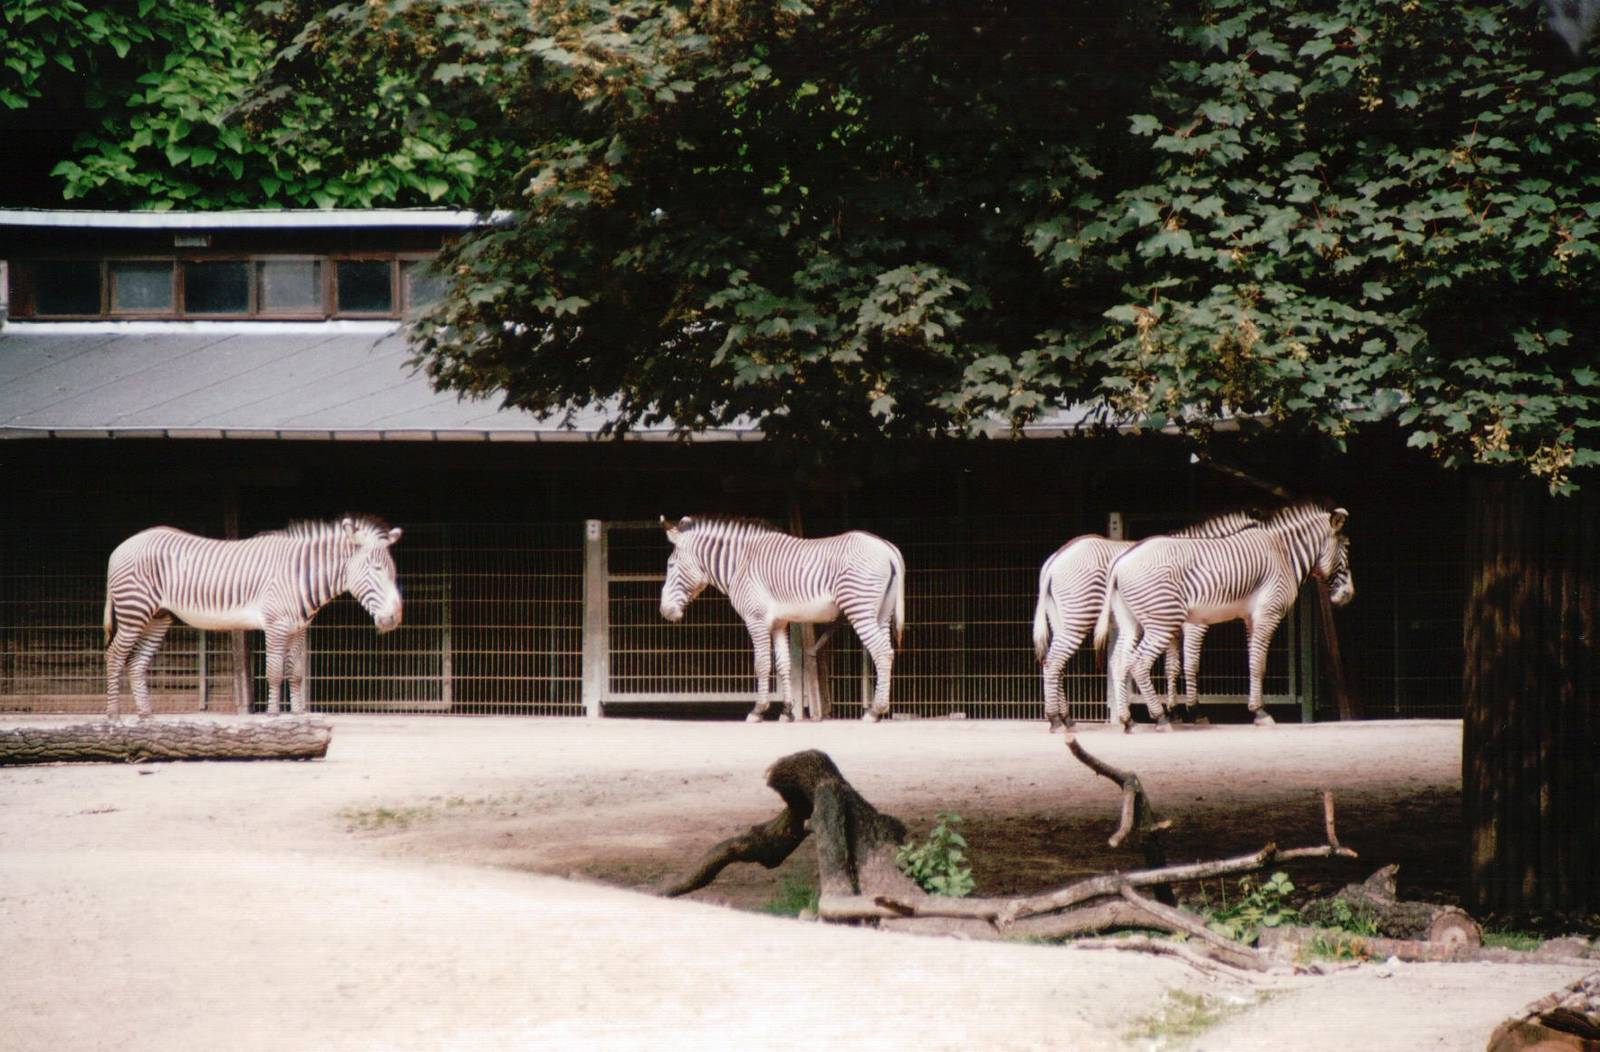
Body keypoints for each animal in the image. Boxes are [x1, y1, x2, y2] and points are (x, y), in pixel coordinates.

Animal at [103, 516, 403, 719]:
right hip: (134, 611)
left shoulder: (298, 628)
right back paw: (113, 716)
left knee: (137, 664)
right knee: (115, 656)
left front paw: (299, 716)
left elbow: (296, 674)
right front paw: (273, 716)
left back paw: (146, 717)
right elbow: (275, 672)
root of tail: (119, 547)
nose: (394, 618)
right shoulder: (276, 625)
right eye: (376, 569)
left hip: (158, 616)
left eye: (393, 571)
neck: (298, 575)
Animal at [658, 515, 906, 722]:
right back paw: (879, 708)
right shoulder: (779, 622)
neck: (740, 564)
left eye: (670, 565)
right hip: (882, 613)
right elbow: (783, 664)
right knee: (888, 651)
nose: (664, 611)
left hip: (859, 607)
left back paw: (874, 711)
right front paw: (787, 711)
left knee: (882, 653)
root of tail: (886, 548)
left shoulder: (755, 618)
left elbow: (762, 663)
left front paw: (758, 710)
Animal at [1032, 509, 1265, 733]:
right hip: (1077, 615)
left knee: (1054, 664)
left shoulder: (1172, 626)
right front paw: (1195, 712)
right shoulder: (1193, 624)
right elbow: (1190, 664)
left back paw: (1065, 718)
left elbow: (1171, 667)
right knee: (1054, 662)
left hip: (1060, 620)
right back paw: (1057, 720)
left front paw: (1172, 712)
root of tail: (1056, 558)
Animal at [1092, 500, 1353, 731]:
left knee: (1119, 661)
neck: (1283, 554)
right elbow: (1255, 663)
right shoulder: (1266, 614)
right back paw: (1160, 718)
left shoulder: (1250, 618)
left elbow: (1252, 662)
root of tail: (1121, 562)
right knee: (1138, 663)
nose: (1348, 595)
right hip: (1162, 621)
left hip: (1132, 622)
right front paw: (1260, 712)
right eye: (1346, 548)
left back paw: (1128, 720)